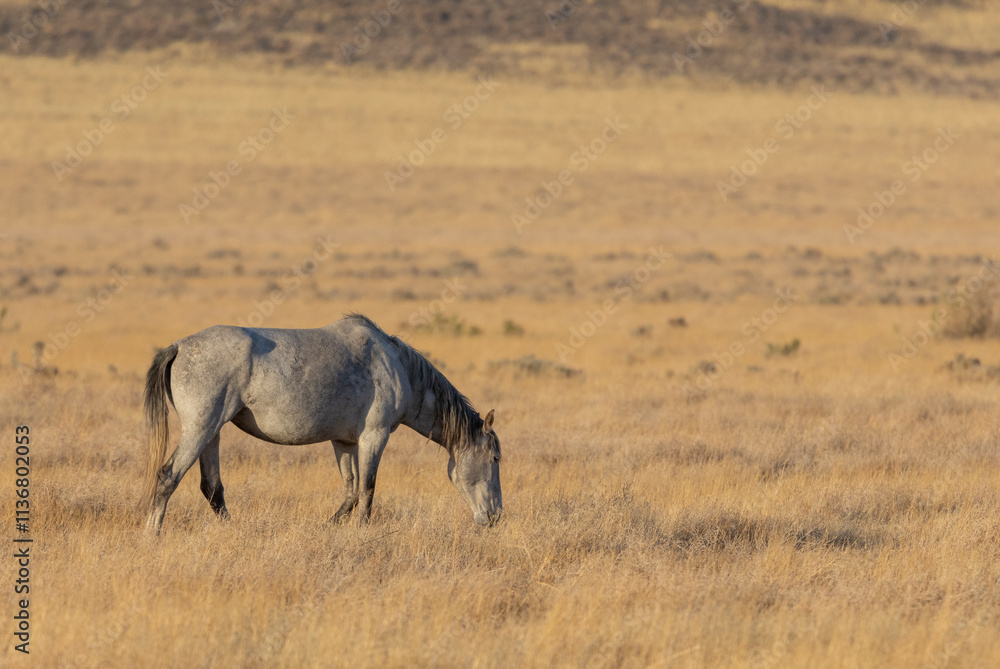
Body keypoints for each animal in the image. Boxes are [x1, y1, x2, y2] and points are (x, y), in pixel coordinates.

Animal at [140, 314, 502, 534]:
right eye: (496, 459)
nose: (496, 516)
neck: (395, 365)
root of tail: (179, 346)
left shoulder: (344, 442)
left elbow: (350, 490)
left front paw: (332, 525)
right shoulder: (374, 437)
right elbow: (367, 489)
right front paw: (361, 531)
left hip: (212, 433)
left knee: (212, 488)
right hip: (199, 430)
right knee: (168, 476)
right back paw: (152, 533)